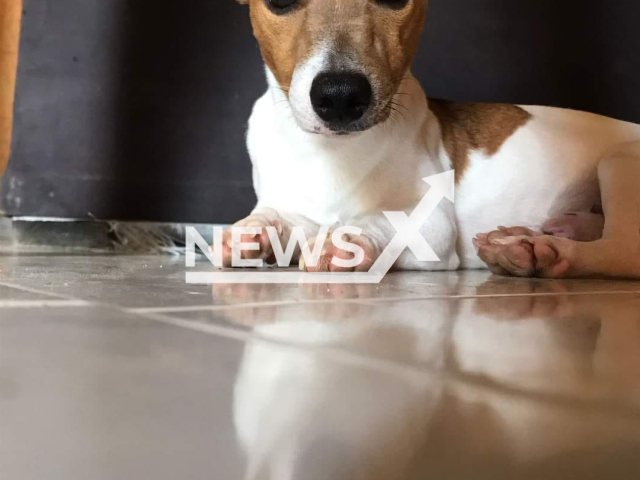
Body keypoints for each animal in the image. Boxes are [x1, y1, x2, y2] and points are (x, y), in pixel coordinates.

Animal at [226, 0, 640, 280]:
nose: (340, 96)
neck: (331, 152)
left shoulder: (433, 226)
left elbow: (379, 219)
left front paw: (344, 237)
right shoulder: (291, 204)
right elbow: (279, 216)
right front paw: (255, 230)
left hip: (618, 162)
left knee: (620, 251)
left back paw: (548, 251)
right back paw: (526, 242)